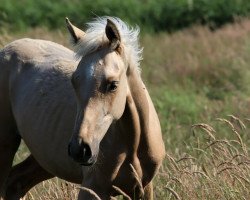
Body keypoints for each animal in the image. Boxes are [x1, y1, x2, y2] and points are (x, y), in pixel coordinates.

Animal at [0, 16, 166, 198]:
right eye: (74, 81)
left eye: (113, 85)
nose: (80, 149)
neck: (133, 147)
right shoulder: (92, 188)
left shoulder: (144, 189)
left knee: (16, 181)